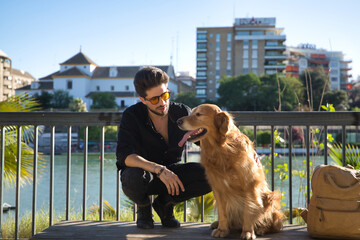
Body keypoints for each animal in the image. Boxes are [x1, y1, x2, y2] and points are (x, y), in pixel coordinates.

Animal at [177, 104, 284, 240]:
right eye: (192, 112)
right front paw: (222, 229)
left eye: (199, 114)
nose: (178, 121)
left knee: (275, 225)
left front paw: (248, 232)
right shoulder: (218, 188)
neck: (220, 148)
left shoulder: (250, 185)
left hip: (271, 197)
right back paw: (217, 224)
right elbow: (222, 213)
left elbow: (249, 209)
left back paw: (262, 229)